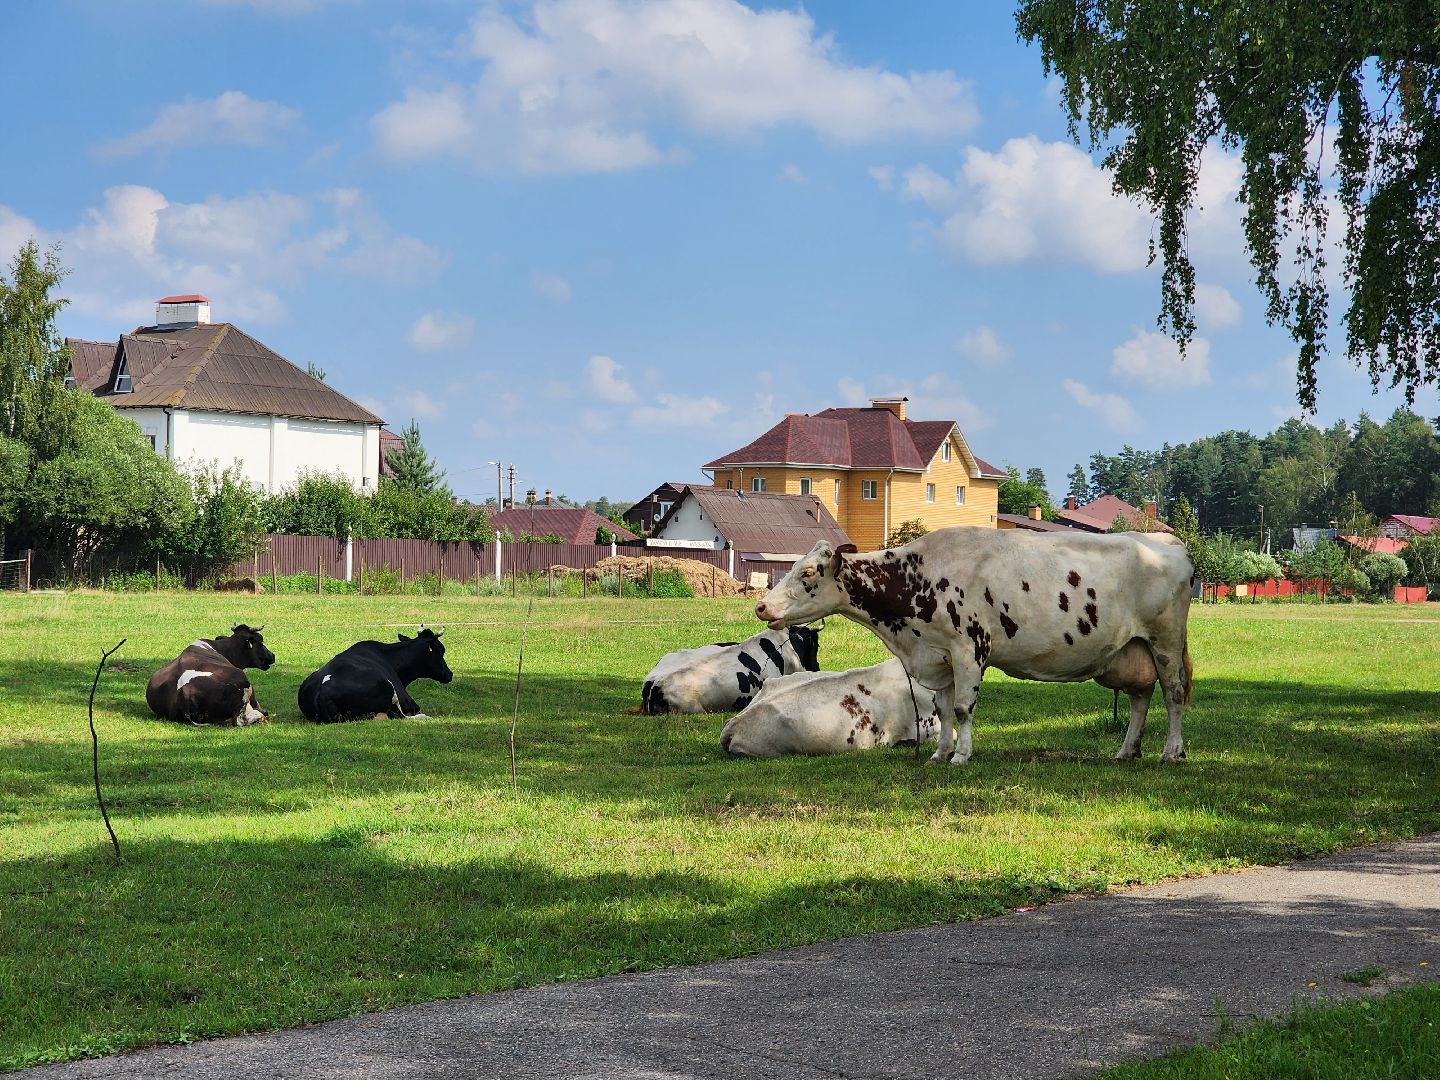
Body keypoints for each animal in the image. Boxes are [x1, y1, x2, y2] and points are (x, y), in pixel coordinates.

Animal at [298, 627, 453, 723]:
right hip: (389, 689)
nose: (450, 674)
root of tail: (323, 691)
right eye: (441, 650)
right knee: (400, 715)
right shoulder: (407, 701)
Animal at [754, 530, 1194, 764]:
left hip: (1166, 640)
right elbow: (945, 709)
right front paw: (939, 754)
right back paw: (1127, 751)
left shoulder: (969, 649)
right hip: (1134, 649)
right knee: (1140, 699)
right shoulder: (941, 656)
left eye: (808, 572)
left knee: (1173, 694)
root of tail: (1165, 540)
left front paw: (961, 756)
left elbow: (965, 708)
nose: (761, 606)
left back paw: (1172, 751)